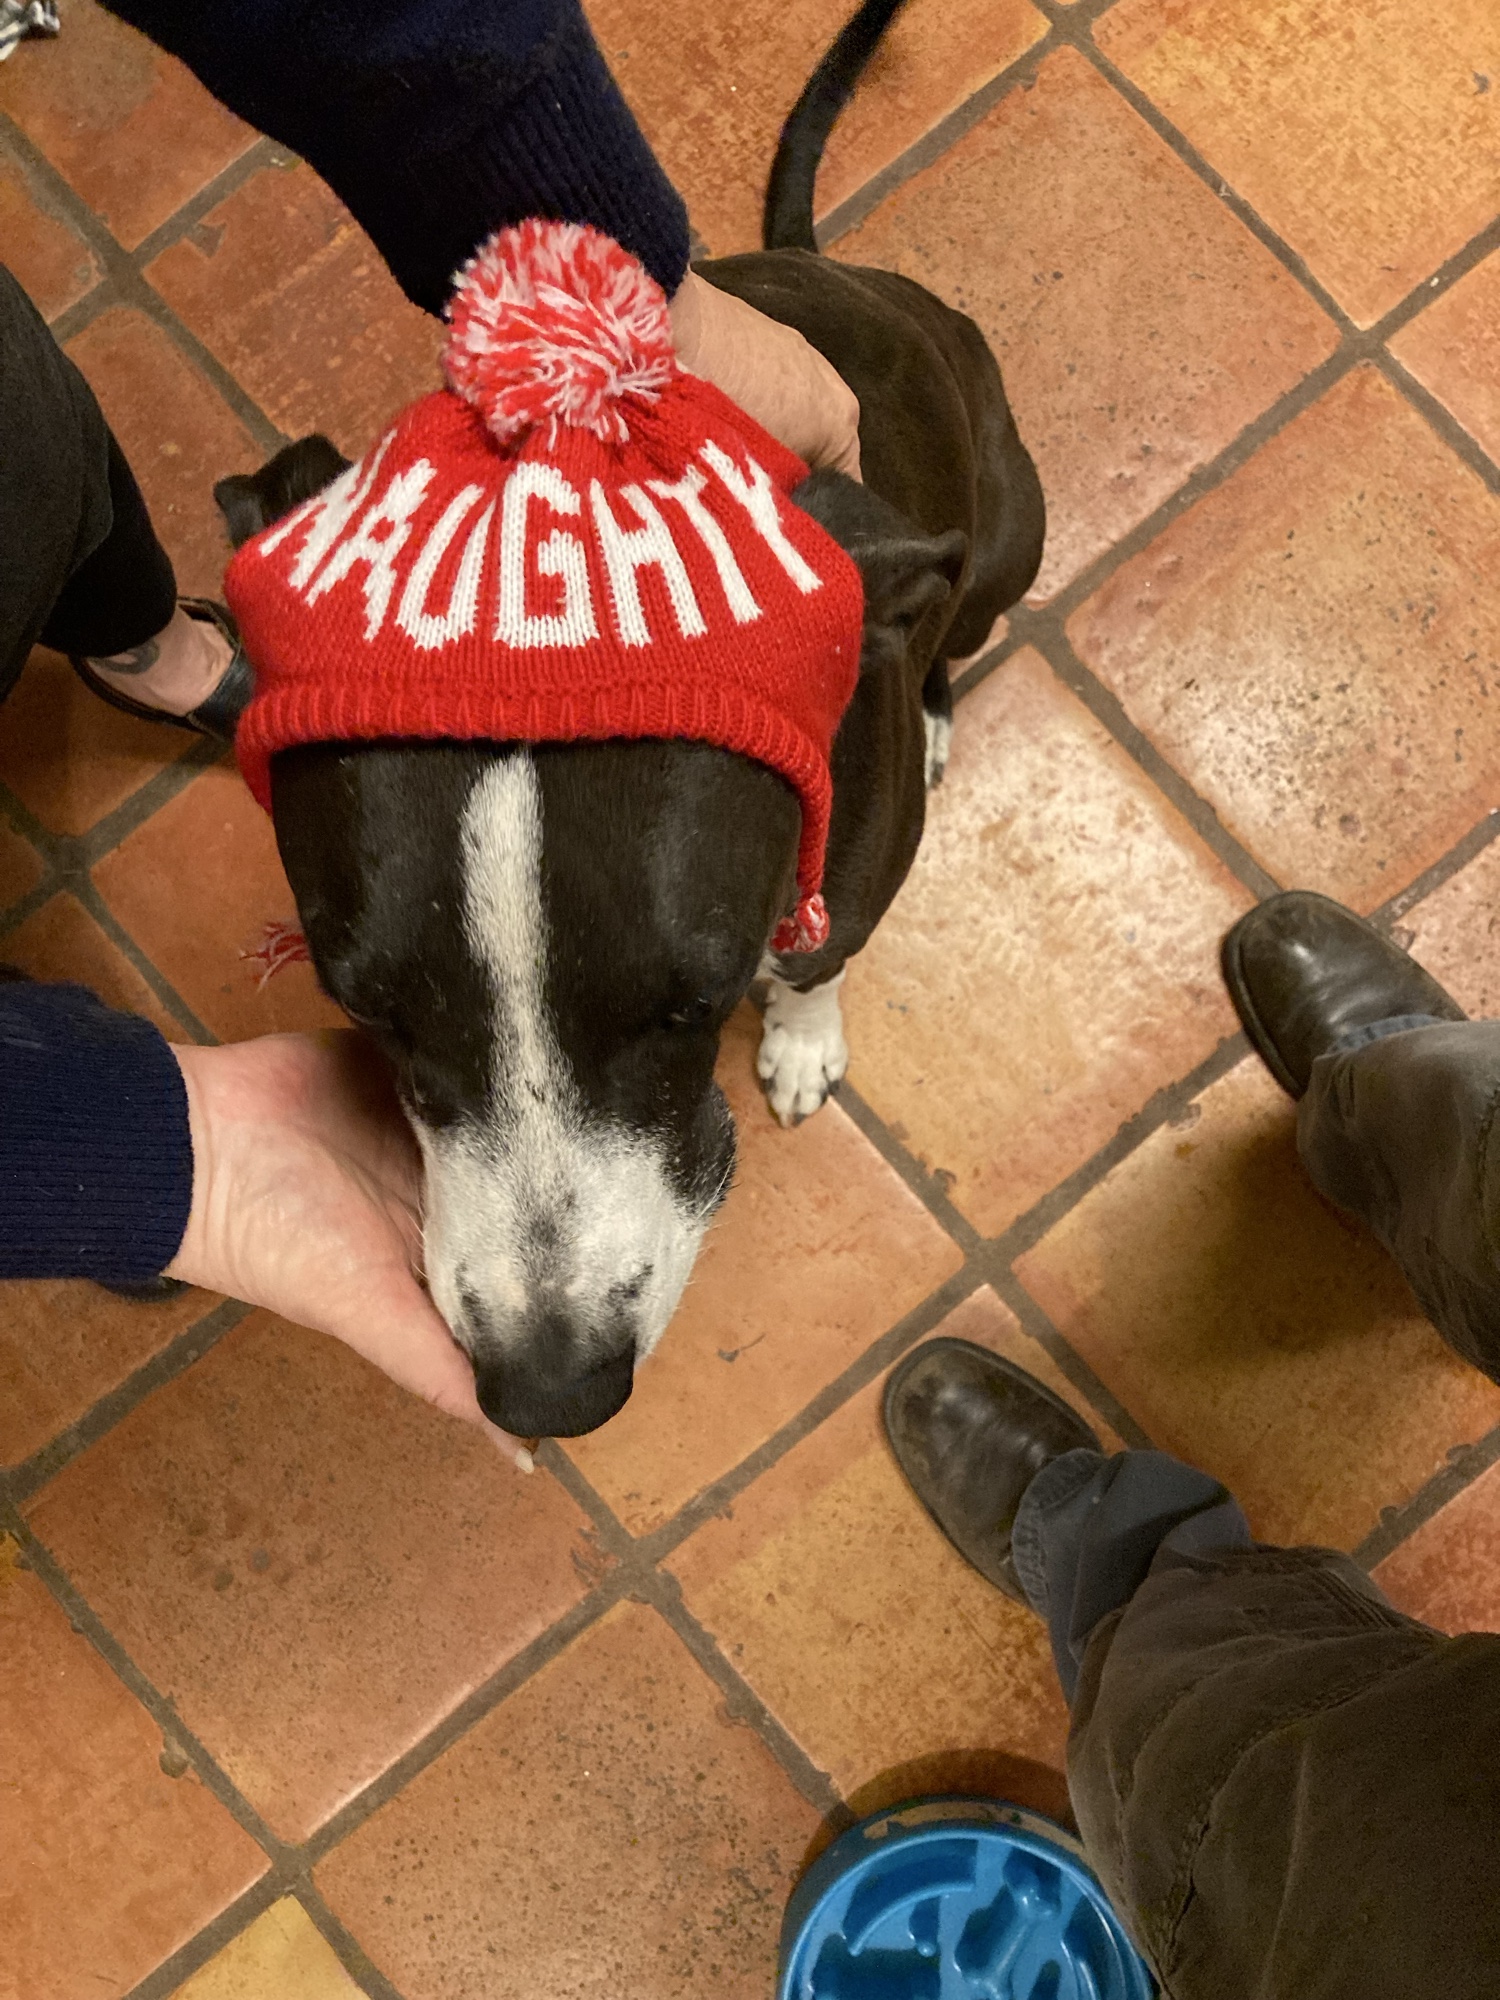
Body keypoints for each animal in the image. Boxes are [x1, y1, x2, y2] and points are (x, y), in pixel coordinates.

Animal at [213, 0, 1044, 1440]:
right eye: (364, 1006)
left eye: (694, 1000)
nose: (550, 1394)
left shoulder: (845, 885)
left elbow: (821, 958)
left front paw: (803, 1041)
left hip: (1008, 534)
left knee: (961, 621)